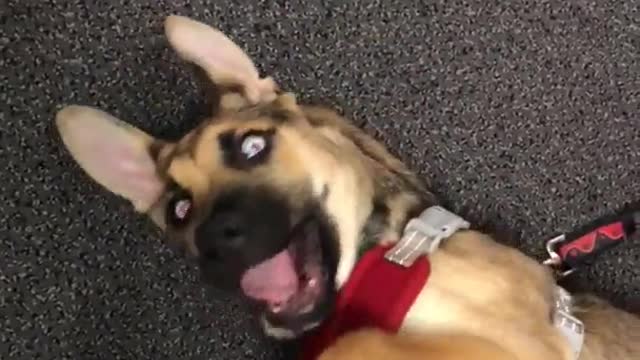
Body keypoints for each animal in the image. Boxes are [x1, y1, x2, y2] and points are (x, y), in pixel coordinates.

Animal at [56, 14, 640, 360]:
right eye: (178, 209)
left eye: (252, 146)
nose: (214, 243)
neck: (390, 254)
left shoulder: (520, 342)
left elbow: (363, 341)